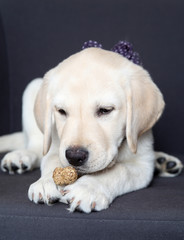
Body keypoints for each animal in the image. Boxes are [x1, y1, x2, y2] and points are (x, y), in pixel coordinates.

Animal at [0, 47, 183, 213]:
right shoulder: (56, 148)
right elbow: (51, 161)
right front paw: (46, 182)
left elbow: (119, 171)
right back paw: (21, 156)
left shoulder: (142, 163)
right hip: (32, 89)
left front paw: (89, 188)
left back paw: (163, 162)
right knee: (37, 147)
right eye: (61, 111)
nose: (74, 157)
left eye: (105, 110)